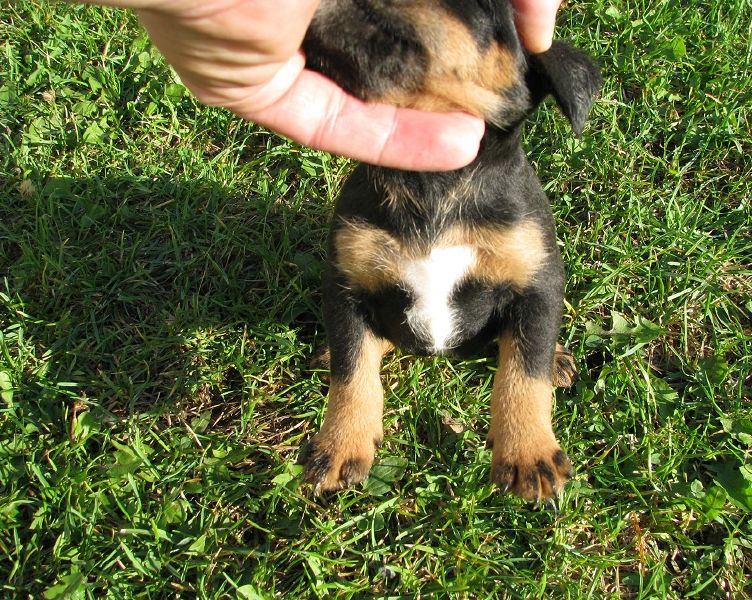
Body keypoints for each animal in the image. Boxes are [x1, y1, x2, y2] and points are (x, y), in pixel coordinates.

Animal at [298, 0, 601, 501]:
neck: (431, 181)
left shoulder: (538, 283)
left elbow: (525, 369)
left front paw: (529, 452)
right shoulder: (346, 282)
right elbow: (352, 369)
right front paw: (339, 445)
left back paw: (557, 360)